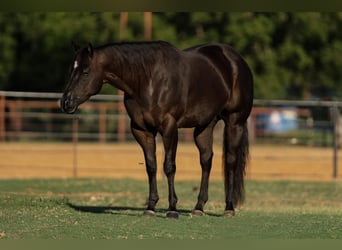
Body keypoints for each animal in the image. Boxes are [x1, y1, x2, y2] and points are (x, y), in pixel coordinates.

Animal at [60, 40, 254, 217]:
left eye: (85, 72)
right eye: (71, 70)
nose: (66, 102)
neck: (148, 81)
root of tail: (236, 60)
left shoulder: (169, 127)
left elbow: (169, 166)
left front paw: (172, 209)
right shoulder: (141, 130)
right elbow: (151, 166)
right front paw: (151, 207)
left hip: (235, 121)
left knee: (231, 161)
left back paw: (229, 208)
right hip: (204, 125)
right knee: (206, 160)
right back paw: (199, 207)